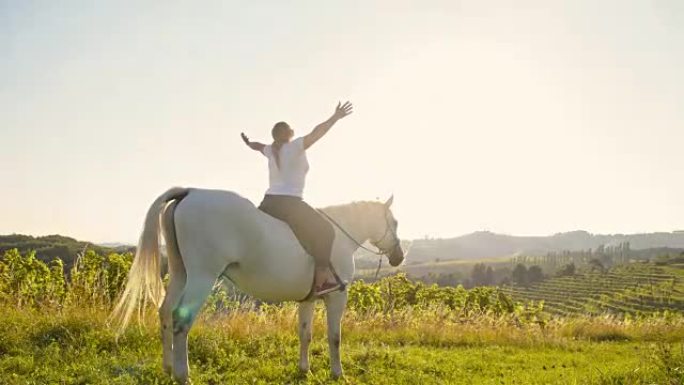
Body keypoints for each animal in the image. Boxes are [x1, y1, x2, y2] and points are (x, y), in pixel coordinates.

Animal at [109, 186, 404, 380]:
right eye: (395, 222)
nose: (399, 256)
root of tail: (189, 192)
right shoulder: (337, 297)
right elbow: (335, 337)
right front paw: (337, 373)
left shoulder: (308, 299)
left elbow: (305, 334)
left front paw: (304, 369)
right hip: (202, 276)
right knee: (181, 321)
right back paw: (183, 376)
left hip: (181, 273)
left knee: (165, 313)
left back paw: (168, 368)